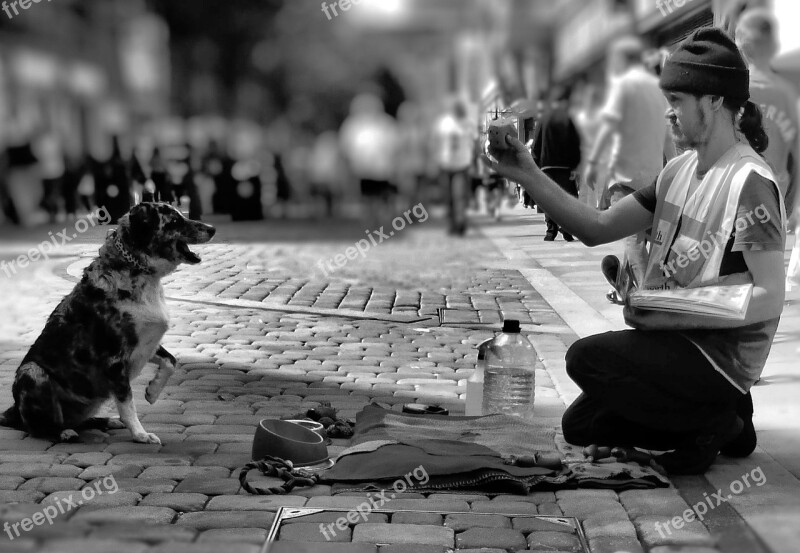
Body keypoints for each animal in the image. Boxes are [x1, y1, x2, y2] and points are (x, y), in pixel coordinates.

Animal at [0, 203, 216, 444]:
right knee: (39, 427)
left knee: (79, 421)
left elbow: (171, 361)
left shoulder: (148, 345)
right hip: (32, 371)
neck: (140, 273)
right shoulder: (115, 359)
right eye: (175, 221)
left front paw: (152, 391)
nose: (212, 229)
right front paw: (140, 434)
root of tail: (13, 412)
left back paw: (107, 421)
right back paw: (64, 432)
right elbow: (127, 402)